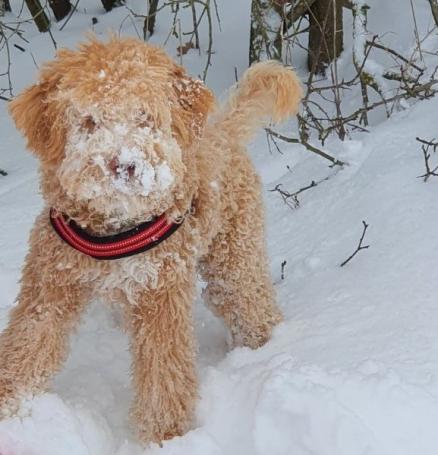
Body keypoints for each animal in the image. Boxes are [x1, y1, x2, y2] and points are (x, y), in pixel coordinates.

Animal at [0, 37, 302, 444]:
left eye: (143, 116)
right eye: (89, 121)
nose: (125, 164)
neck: (113, 230)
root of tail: (221, 130)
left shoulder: (161, 293)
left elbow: (163, 371)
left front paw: (164, 436)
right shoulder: (49, 284)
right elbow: (26, 344)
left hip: (234, 255)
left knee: (249, 303)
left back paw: (262, 350)